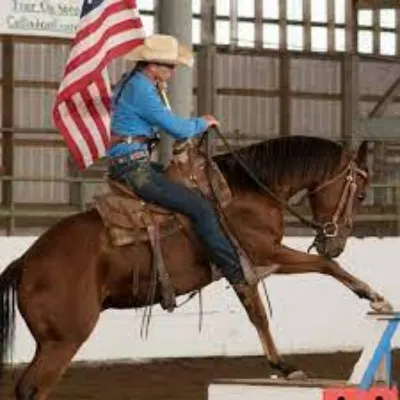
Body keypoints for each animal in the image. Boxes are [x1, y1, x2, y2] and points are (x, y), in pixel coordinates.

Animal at [0, 135, 394, 400]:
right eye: (361, 194)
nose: (336, 242)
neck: (248, 191)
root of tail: (27, 261)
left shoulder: (253, 265)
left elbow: (260, 311)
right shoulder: (263, 253)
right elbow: (321, 268)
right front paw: (375, 297)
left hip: (50, 343)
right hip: (64, 341)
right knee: (33, 389)